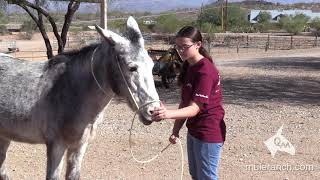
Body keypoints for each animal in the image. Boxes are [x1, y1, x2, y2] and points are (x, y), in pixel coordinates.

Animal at [0, 16, 160, 179]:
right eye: (132, 68)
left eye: (152, 65)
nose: (154, 111)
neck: (73, 91)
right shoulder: (56, 146)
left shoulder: (79, 146)